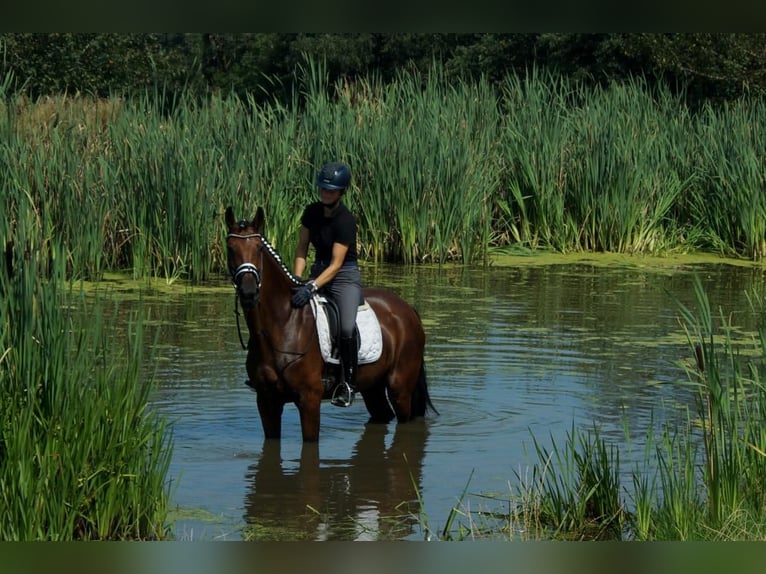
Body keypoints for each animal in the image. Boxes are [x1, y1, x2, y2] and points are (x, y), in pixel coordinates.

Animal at [224, 208, 438, 446]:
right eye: (231, 248)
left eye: (259, 248)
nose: (249, 293)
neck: (282, 325)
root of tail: (408, 310)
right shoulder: (266, 401)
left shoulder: (309, 399)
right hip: (372, 385)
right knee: (383, 414)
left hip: (400, 387)